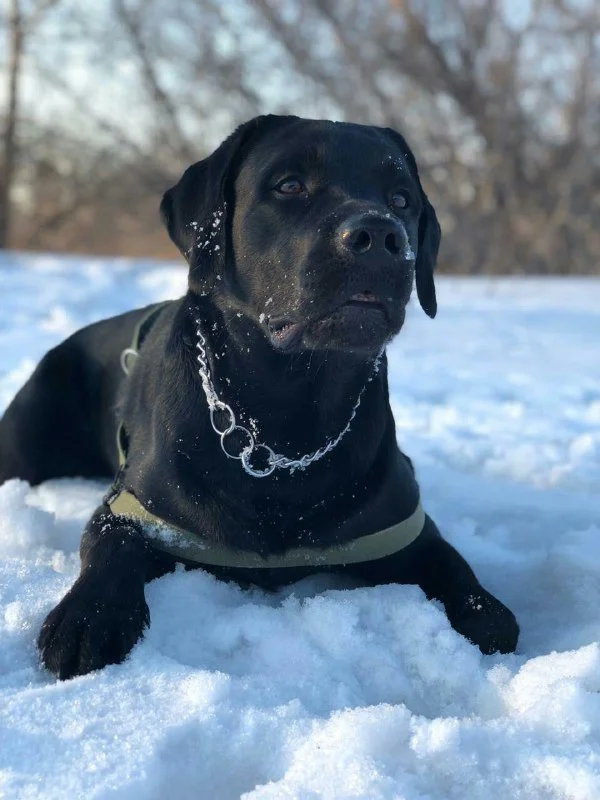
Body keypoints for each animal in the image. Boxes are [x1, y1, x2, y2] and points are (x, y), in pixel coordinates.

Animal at [0, 115, 519, 679]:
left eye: (402, 199)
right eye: (289, 186)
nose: (382, 234)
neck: (286, 415)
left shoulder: (404, 526)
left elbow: (472, 590)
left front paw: (483, 610)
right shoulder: (132, 507)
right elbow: (109, 544)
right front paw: (88, 618)